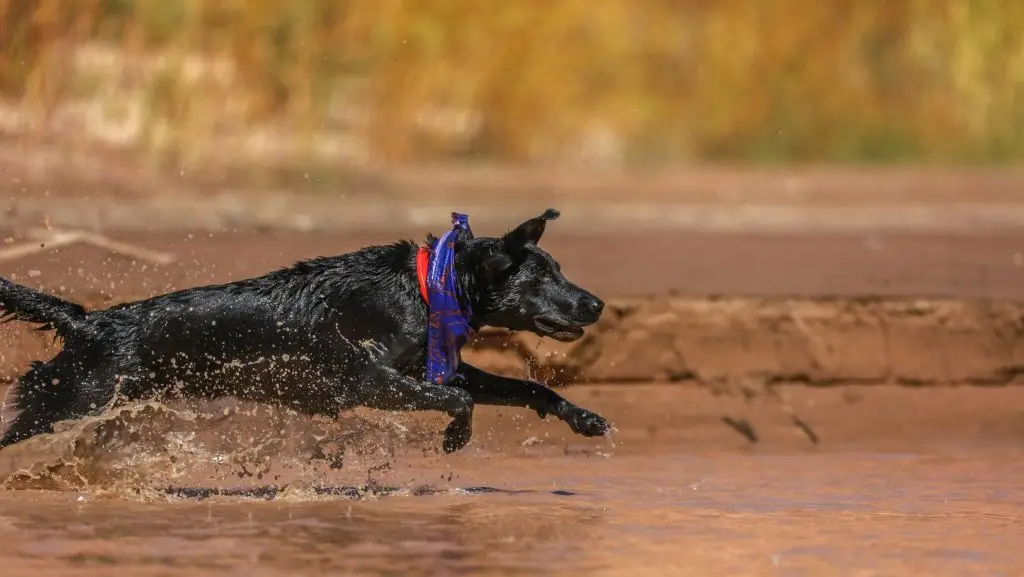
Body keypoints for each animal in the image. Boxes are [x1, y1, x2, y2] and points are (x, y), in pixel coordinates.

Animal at [0, 209, 606, 457]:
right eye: (542, 275)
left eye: (558, 269)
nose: (597, 302)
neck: (425, 287)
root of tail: (89, 321)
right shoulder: (367, 381)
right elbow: (459, 399)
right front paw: (456, 437)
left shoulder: (424, 368)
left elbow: (527, 387)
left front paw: (583, 417)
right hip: (73, 399)